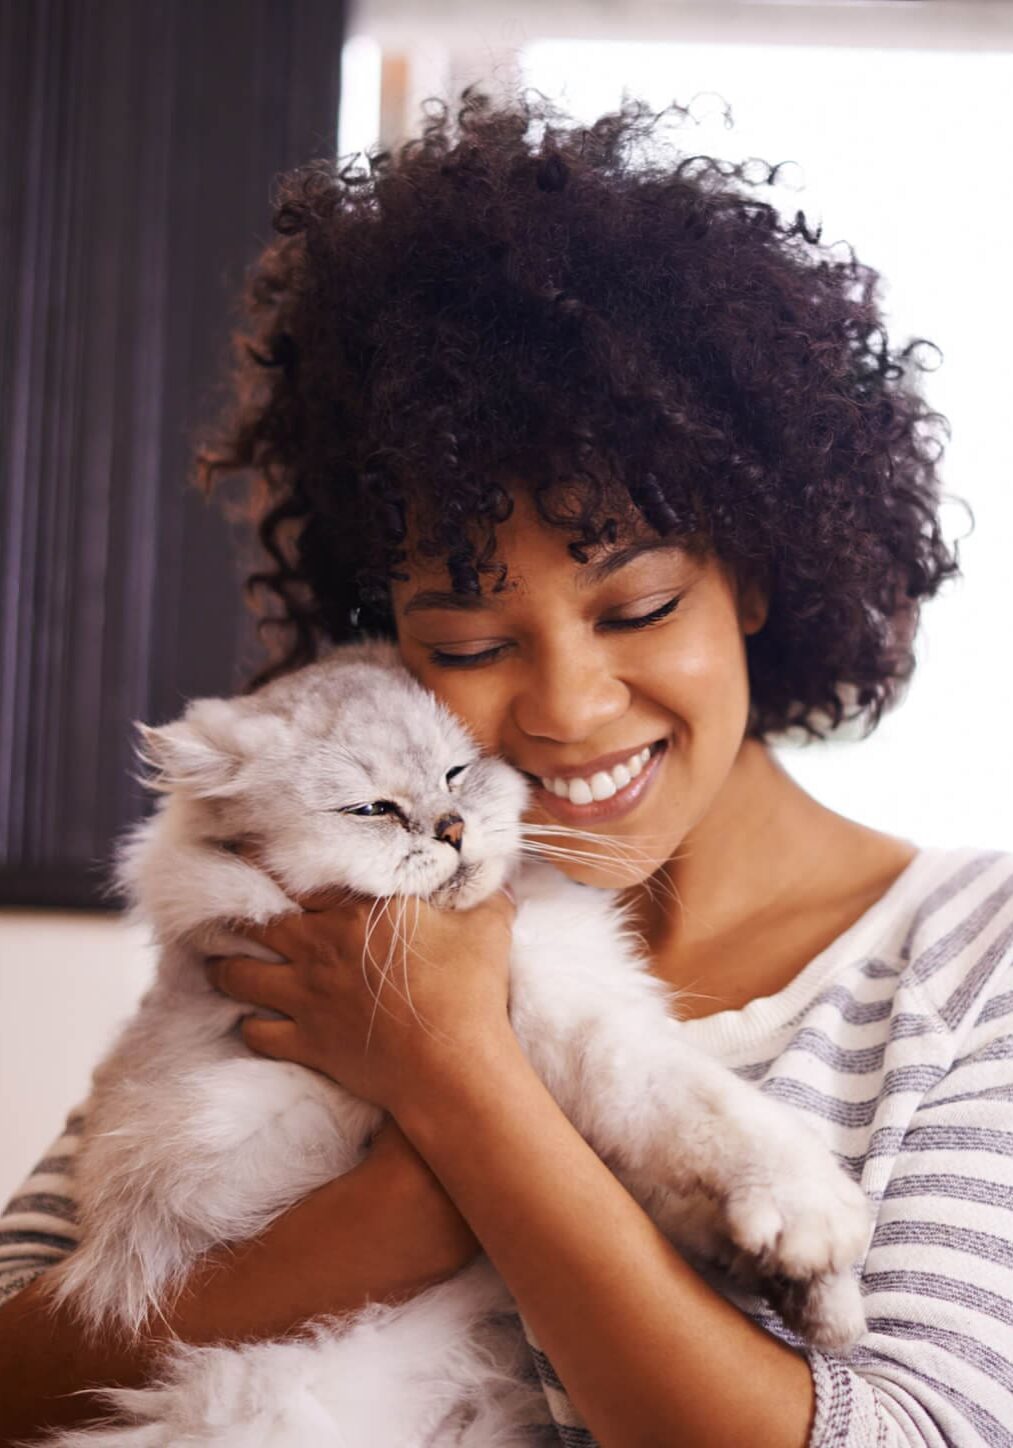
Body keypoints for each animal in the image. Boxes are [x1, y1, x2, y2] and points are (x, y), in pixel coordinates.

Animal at [43, 640, 868, 1448]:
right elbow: (708, 1116)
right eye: (371, 809)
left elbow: (679, 1182)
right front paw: (810, 1225)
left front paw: (809, 1293)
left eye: (455, 773)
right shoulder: (569, 1030)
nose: (450, 829)